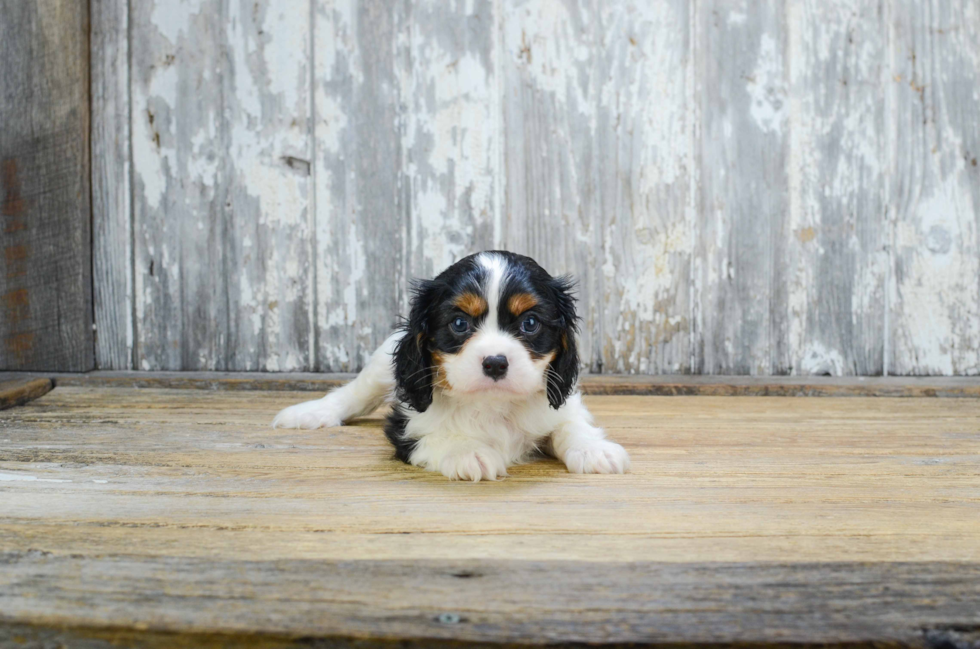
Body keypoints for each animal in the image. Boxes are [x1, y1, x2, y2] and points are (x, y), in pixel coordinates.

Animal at [272, 251, 632, 478]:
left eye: (530, 323)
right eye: (459, 324)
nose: (495, 363)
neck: (493, 405)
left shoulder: (561, 402)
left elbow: (570, 424)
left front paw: (593, 449)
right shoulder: (407, 426)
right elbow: (433, 434)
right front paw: (468, 452)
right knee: (355, 392)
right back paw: (310, 413)